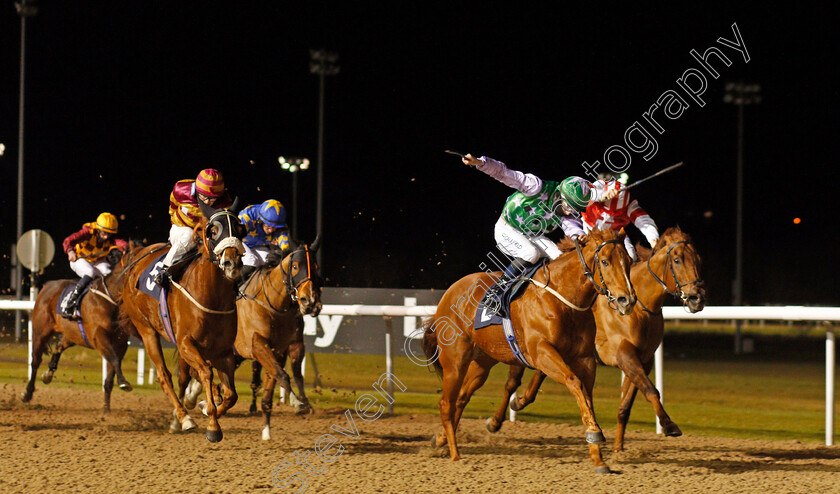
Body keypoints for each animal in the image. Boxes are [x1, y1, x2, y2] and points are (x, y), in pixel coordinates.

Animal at [22, 245, 138, 412]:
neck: (109, 299)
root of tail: (47, 285)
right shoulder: (99, 337)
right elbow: (115, 361)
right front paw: (124, 383)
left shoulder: (120, 343)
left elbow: (111, 373)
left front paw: (106, 409)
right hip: (40, 332)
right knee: (36, 361)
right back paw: (27, 393)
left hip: (72, 335)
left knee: (58, 347)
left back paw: (48, 374)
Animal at [118, 203, 244, 442]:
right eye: (213, 231)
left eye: (241, 229)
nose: (231, 263)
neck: (210, 295)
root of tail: (135, 258)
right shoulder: (186, 342)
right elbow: (205, 372)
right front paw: (212, 425)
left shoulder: (223, 350)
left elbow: (231, 395)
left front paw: (209, 405)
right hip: (146, 329)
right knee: (164, 375)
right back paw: (184, 417)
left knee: (185, 376)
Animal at [182, 239, 324, 440]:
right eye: (296, 266)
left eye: (317, 267)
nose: (310, 301)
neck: (271, 304)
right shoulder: (258, 345)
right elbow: (283, 375)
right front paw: (298, 403)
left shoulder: (278, 350)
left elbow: (277, 377)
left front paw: (266, 430)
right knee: (196, 371)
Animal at [424, 229, 632, 474]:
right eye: (605, 261)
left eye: (629, 261)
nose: (627, 300)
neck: (563, 298)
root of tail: (450, 291)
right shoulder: (541, 352)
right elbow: (574, 382)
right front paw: (594, 433)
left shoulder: (585, 358)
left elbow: (586, 395)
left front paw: (598, 458)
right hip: (455, 361)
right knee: (446, 403)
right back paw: (456, 455)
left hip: (482, 362)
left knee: (461, 398)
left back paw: (441, 439)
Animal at [482, 227, 704, 452]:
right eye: (677, 260)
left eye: (698, 259)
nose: (697, 298)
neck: (641, 308)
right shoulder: (624, 353)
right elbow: (650, 389)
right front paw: (669, 425)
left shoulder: (645, 358)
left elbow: (626, 405)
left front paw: (618, 448)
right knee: (512, 382)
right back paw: (496, 420)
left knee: (539, 373)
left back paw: (520, 401)